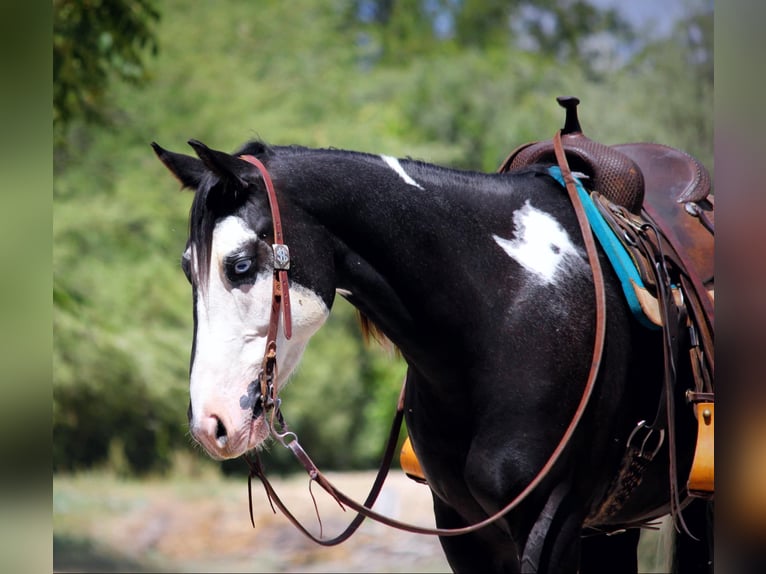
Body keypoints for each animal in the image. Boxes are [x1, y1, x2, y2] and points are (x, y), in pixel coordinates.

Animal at [152, 110, 712, 573]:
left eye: (241, 264)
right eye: (187, 269)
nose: (212, 424)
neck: (504, 311)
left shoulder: (550, 519)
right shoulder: (464, 529)